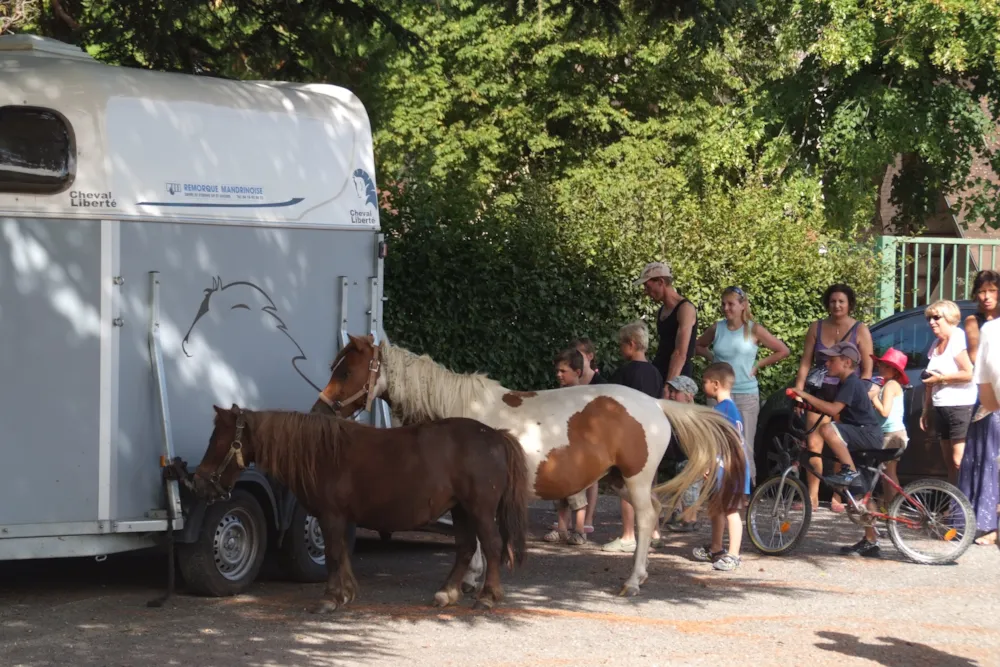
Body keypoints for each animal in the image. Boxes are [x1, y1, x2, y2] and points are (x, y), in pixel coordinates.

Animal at [190, 404, 528, 612]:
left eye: (218, 440)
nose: (199, 482)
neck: (321, 453)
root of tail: (496, 436)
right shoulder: (338, 517)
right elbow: (341, 553)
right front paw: (345, 594)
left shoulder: (330, 516)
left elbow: (333, 554)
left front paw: (330, 598)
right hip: (460, 510)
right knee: (466, 548)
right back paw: (447, 593)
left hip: (479, 509)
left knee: (492, 546)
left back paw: (487, 597)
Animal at [312, 336, 744, 596]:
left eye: (346, 370)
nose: (320, 409)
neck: (462, 414)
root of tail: (655, 403)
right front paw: (471, 579)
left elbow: (479, 539)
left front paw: (472, 581)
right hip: (619, 480)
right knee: (651, 514)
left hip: (636, 482)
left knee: (643, 520)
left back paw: (632, 582)